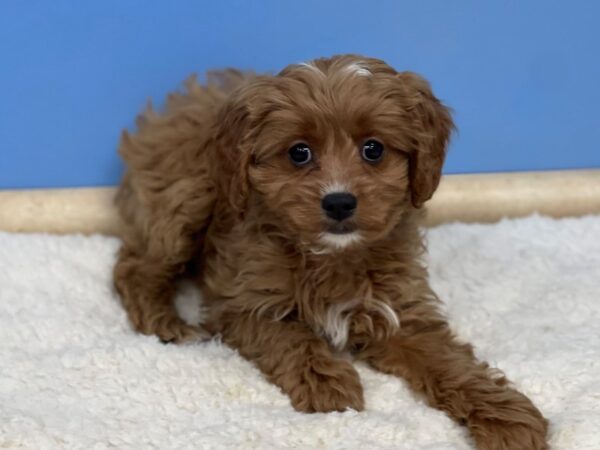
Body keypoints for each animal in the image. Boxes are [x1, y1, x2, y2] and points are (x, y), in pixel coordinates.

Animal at [112, 54, 548, 448]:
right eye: (299, 153)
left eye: (373, 149)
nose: (339, 202)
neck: (334, 256)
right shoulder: (242, 304)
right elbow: (291, 337)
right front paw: (327, 383)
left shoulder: (401, 312)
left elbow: (449, 361)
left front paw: (505, 417)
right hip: (185, 197)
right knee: (134, 267)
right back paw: (165, 324)